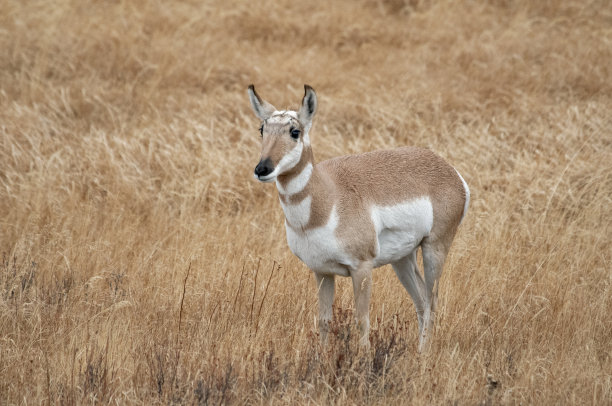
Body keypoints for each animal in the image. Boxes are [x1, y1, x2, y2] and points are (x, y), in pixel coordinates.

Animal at [247, 84, 468, 350]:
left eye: (295, 131)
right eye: (262, 129)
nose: (262, 169)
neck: (327, 198)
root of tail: (451, 171)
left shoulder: (361, 268)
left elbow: (362, 320)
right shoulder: (322, 272)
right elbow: (324, 321)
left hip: (434, 248)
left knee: (432, 302)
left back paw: (423, 354)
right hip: (402, 259)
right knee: (421, 300)